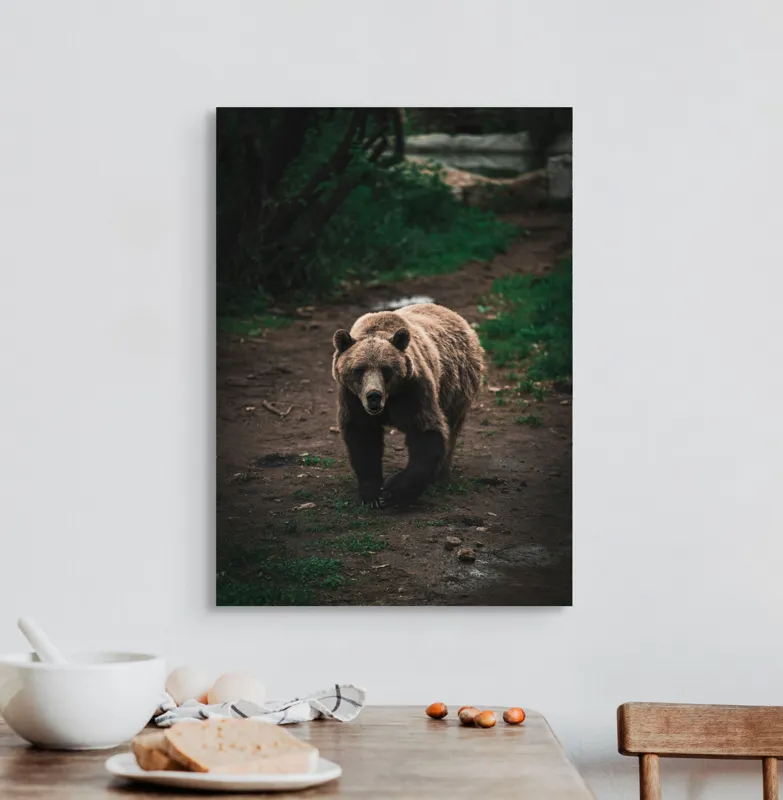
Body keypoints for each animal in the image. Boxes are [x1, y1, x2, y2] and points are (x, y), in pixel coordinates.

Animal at [331, 303, 483, 508]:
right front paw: (372, 493)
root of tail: (455, 315)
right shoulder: (353, 398)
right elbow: (363, 438)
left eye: (386, 369)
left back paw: (440, 474)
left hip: (456, 385)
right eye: (359, 369)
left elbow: (426, 432)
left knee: (451, 428)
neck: (390, 399)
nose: (374, 396)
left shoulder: (414, 391)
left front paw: (393, 492)